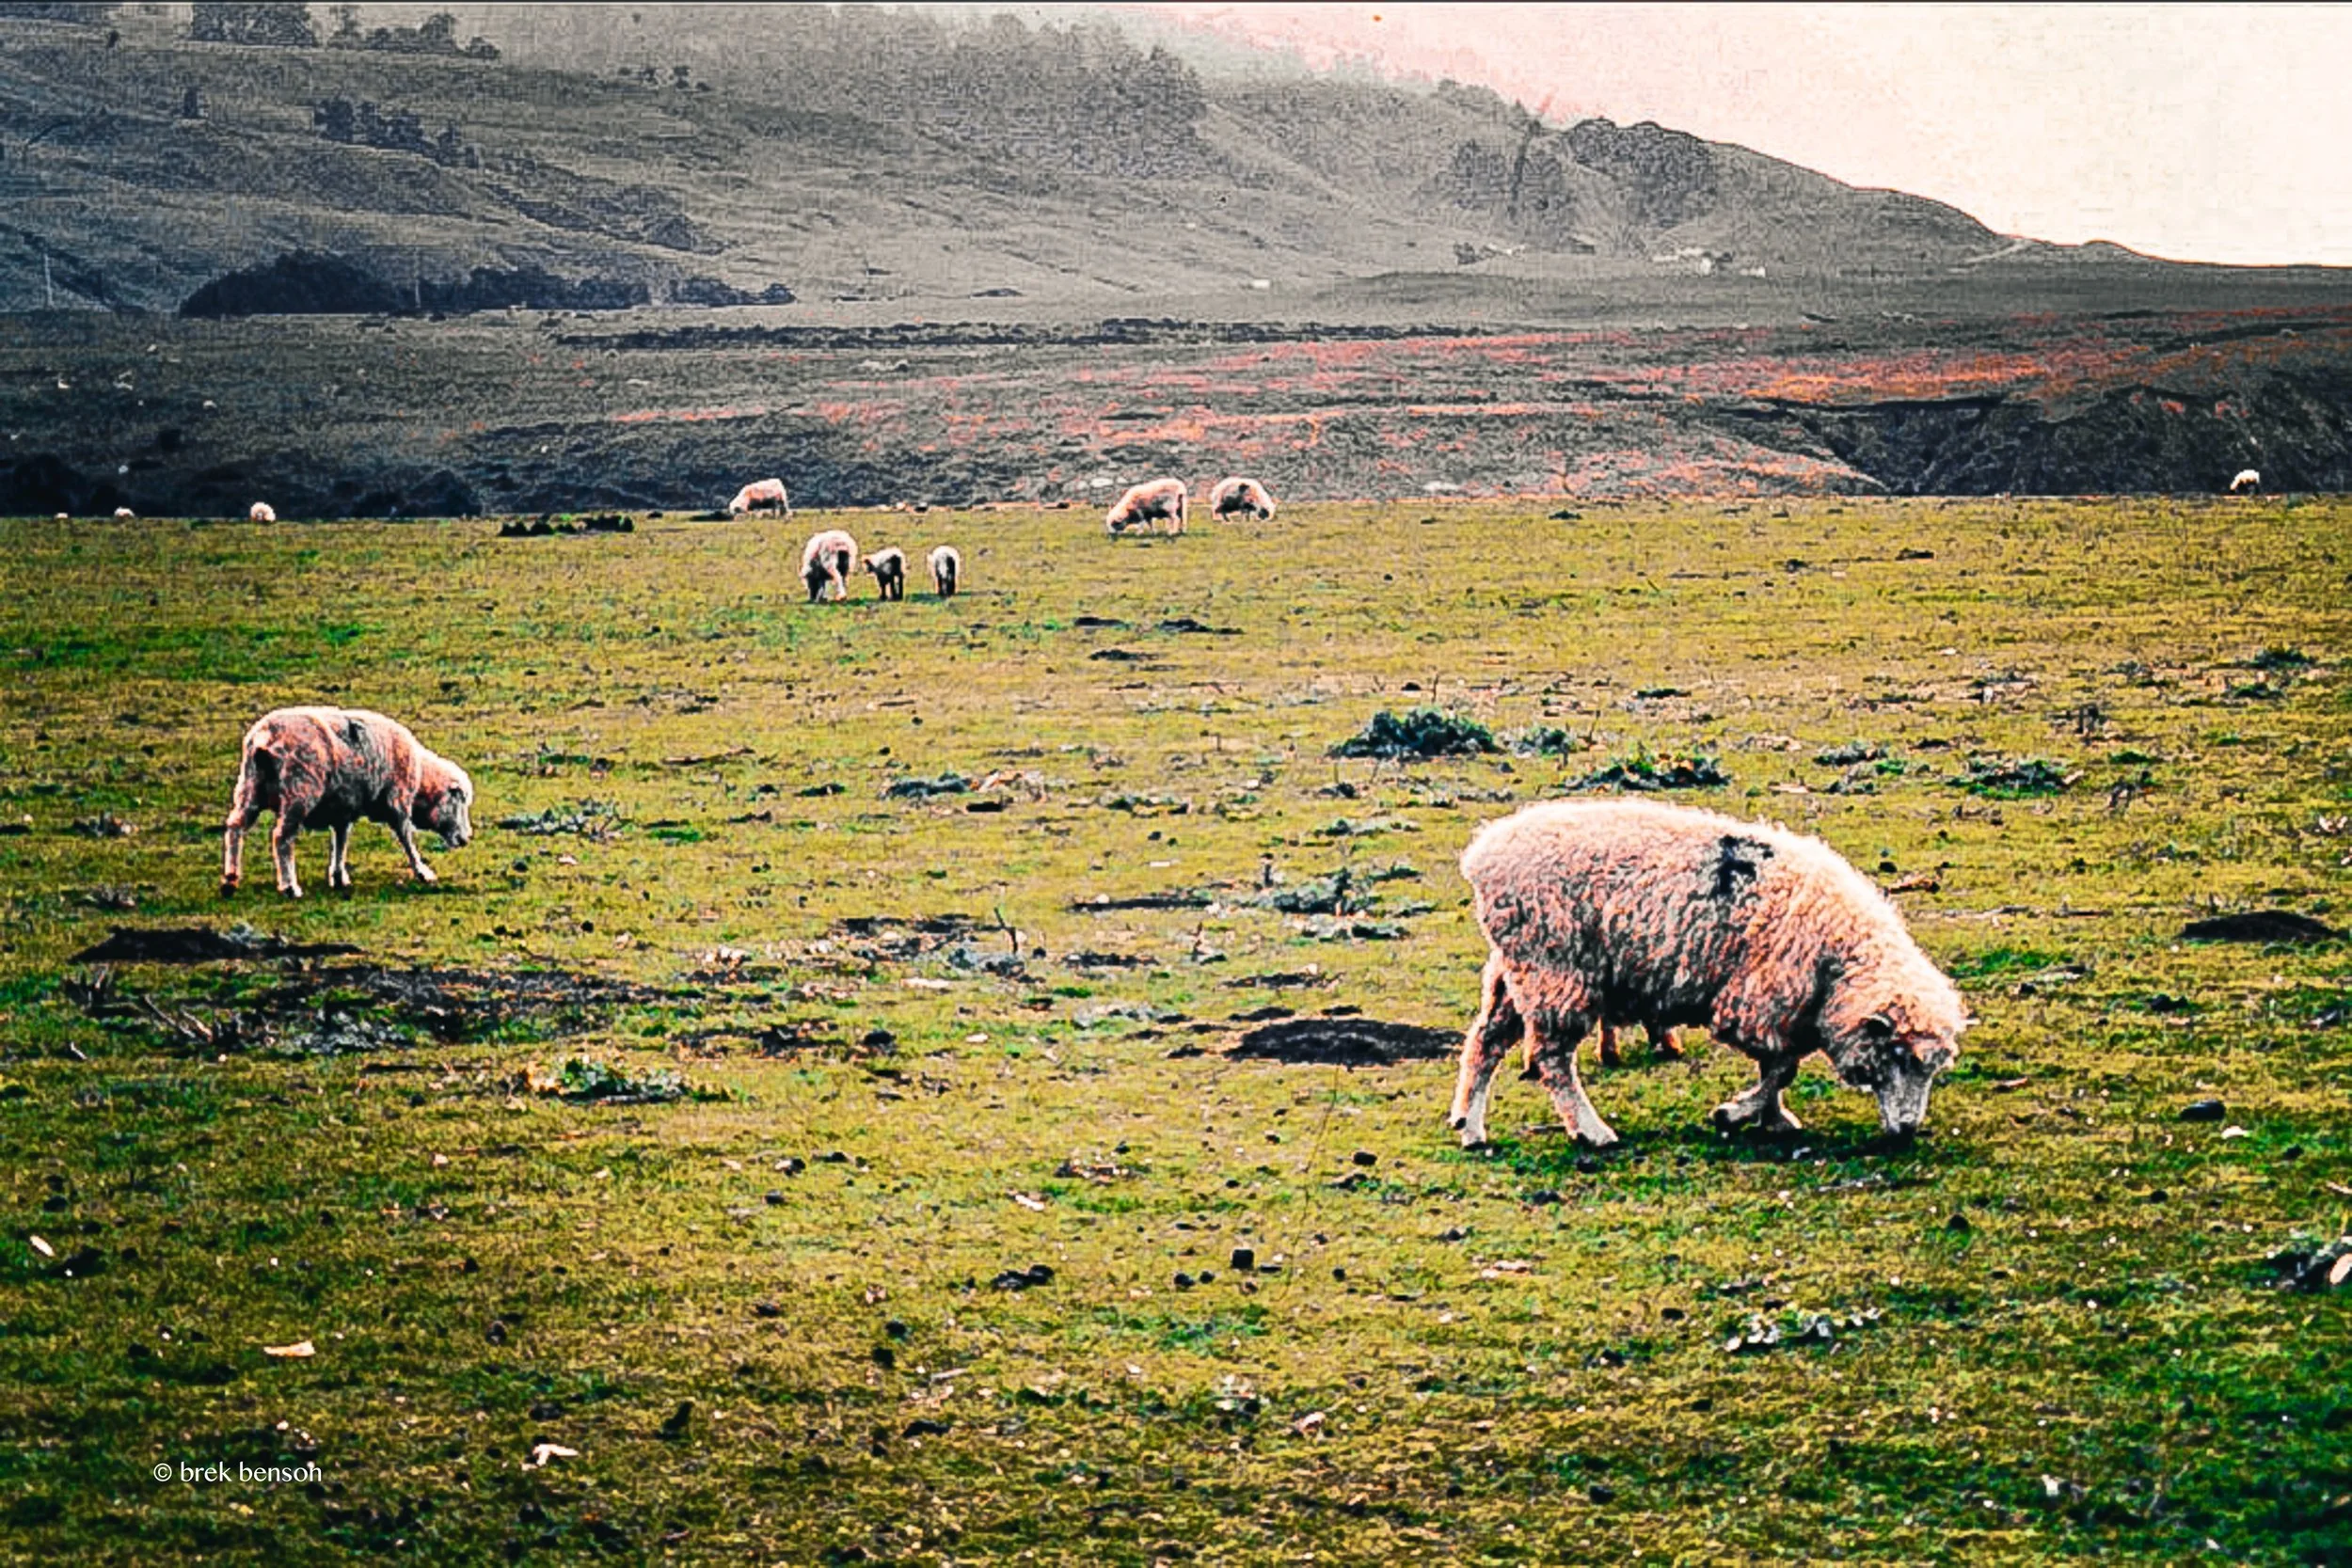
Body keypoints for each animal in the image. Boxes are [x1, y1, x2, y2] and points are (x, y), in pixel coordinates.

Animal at [221, 706, 474, 899]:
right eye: (459, 801)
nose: (465, 838)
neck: (422, 778)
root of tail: (267, 735)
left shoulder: (343, 808)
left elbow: (341, 840)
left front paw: (338, 876)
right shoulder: (398, 801)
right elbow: (406, 838)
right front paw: (423, 872)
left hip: (250, 787)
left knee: (235, 826)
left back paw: (230, 879)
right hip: (300, 791)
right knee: (281, 837)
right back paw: (290, 886)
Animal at [1450, 798, 1967, 1148]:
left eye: (1932, 1067)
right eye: (1898, 1054)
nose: (1907, 1130)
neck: (1838, 962)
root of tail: (1482, 855)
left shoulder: (1779, 1008)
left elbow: (1777, 1069)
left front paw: (1772, 1119)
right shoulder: (1759, 1000)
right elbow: (1781, 1068)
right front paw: (1736, 1113)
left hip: (1515, 972)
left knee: (1486, 1040)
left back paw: (1470, 1126)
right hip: (1554, 969)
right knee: (1552, 1058)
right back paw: (1590, 1131)